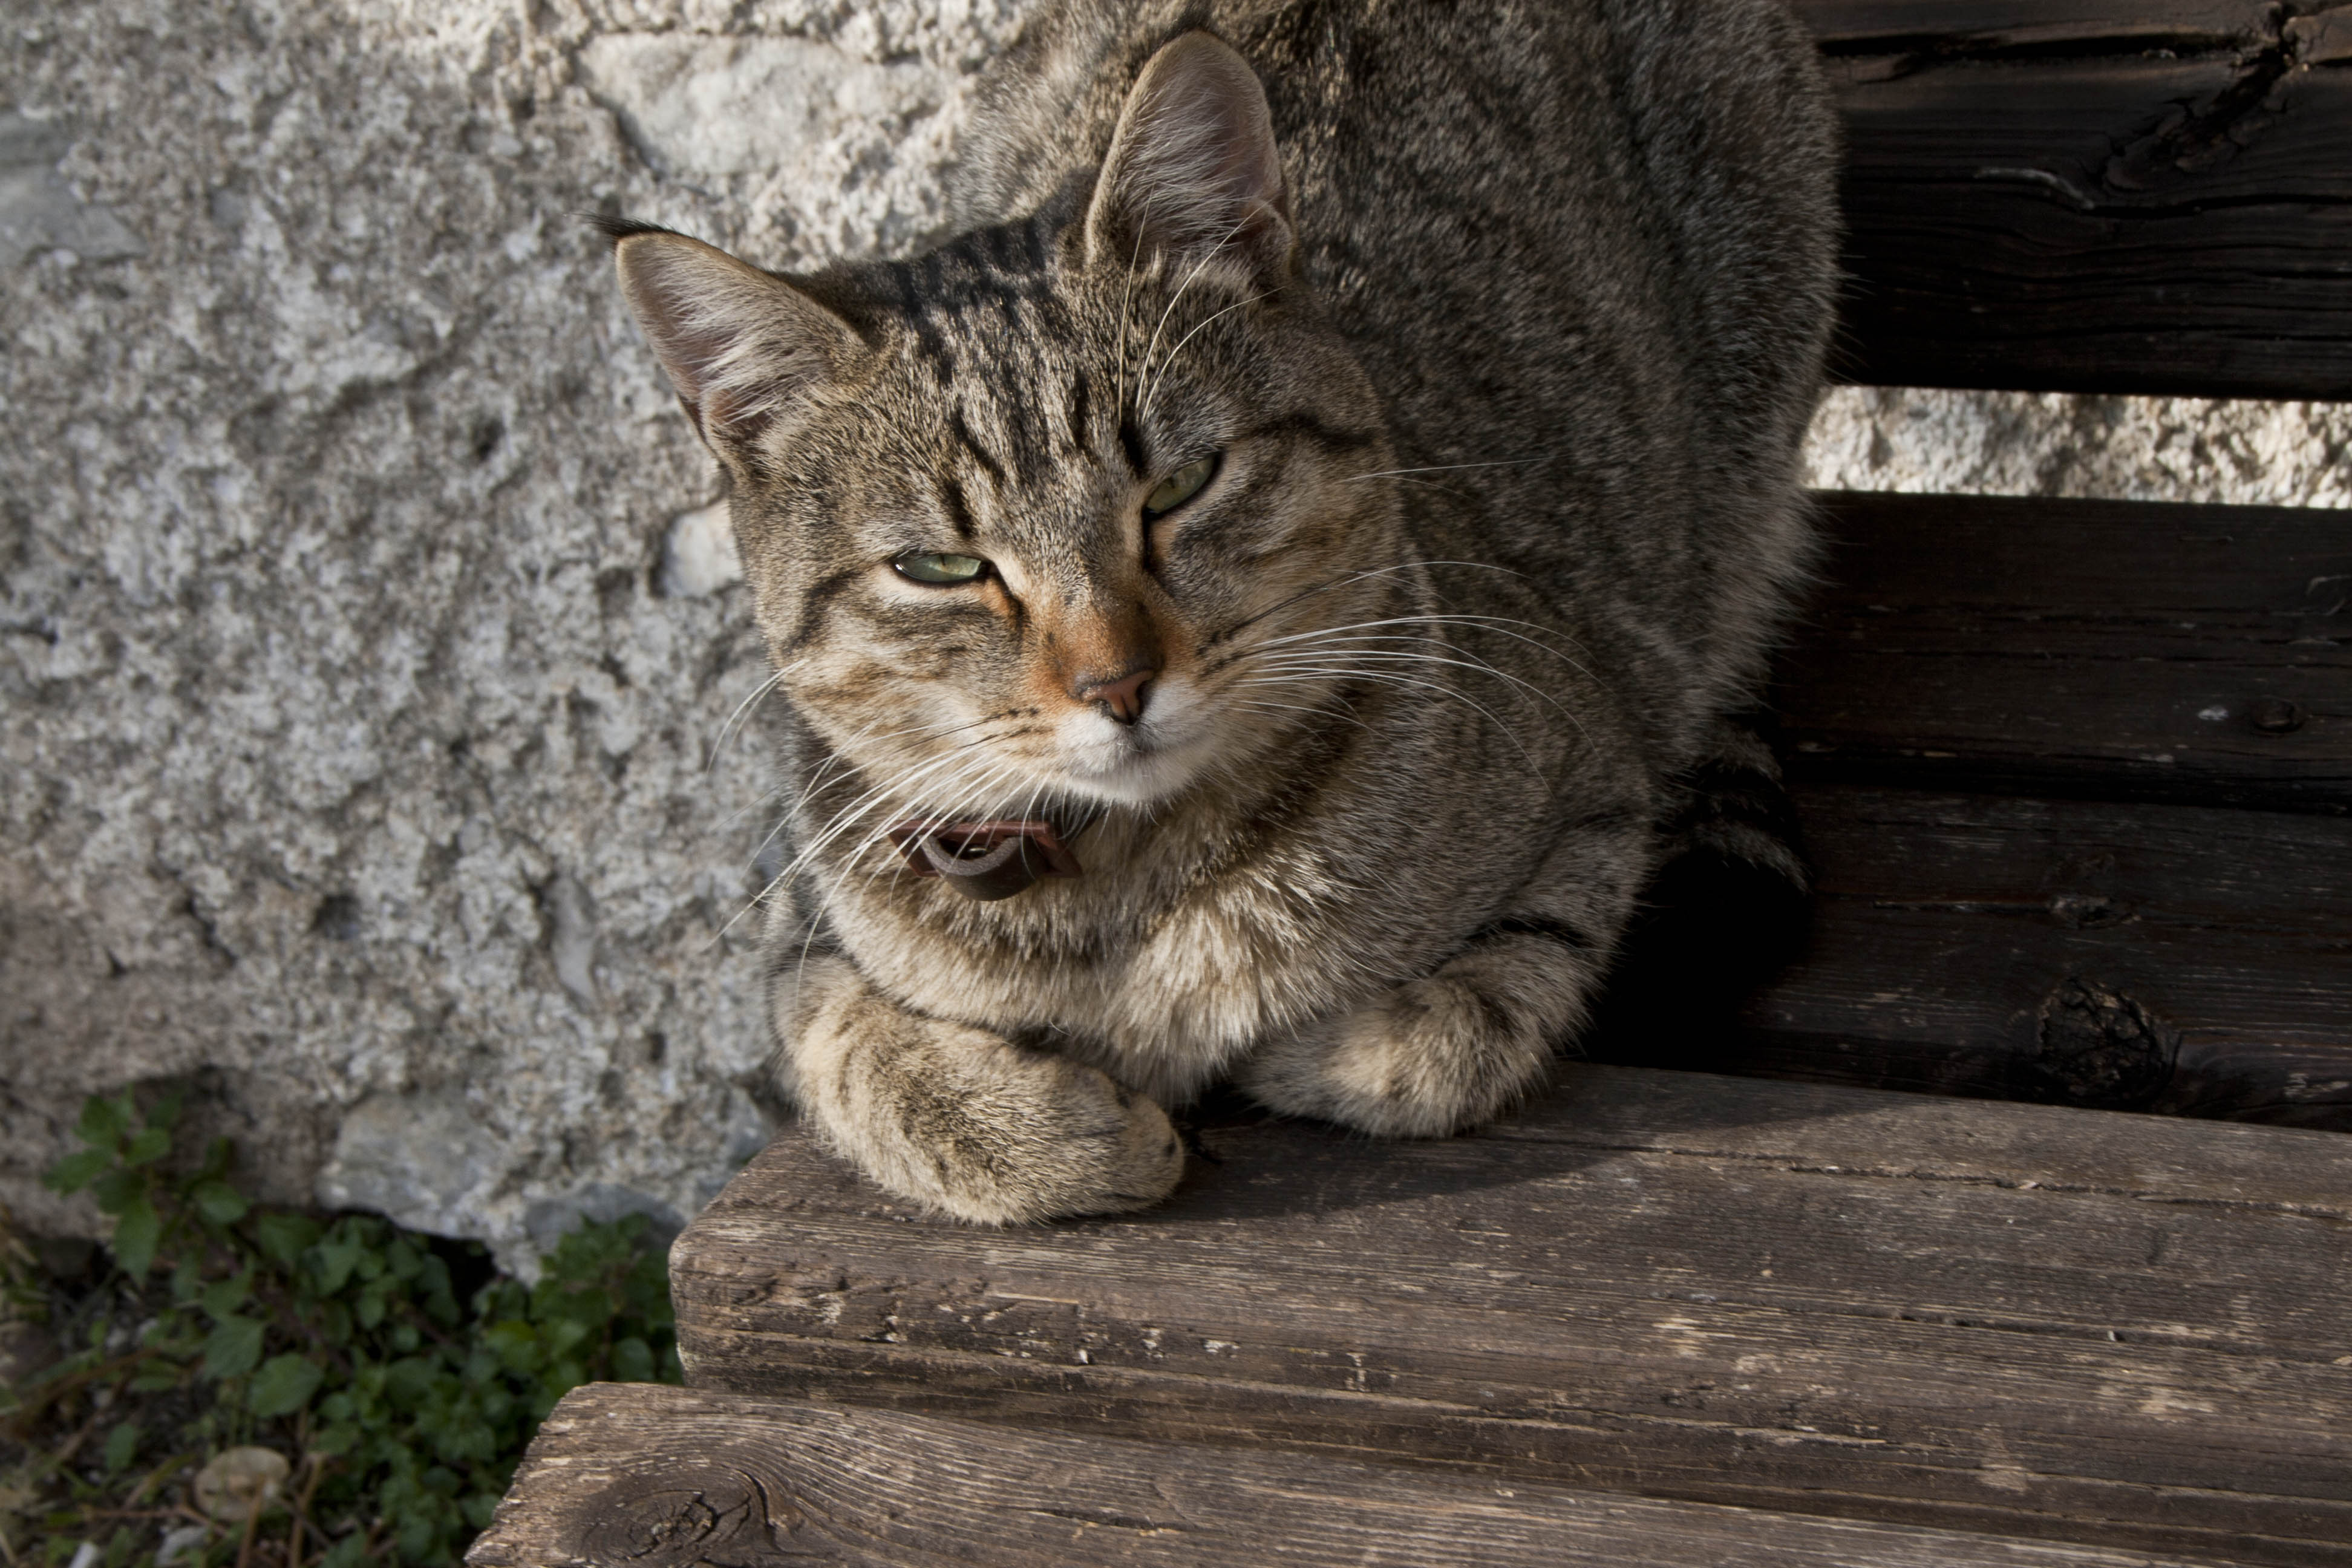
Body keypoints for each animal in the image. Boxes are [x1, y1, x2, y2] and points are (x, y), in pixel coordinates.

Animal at [602, 0, 1834, 1222]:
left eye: (1181, 487)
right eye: (939, 567)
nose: (1115, 683)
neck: (1131, 893)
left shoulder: (1596, 795)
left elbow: (1454, 1027)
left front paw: (1319, 1048)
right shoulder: (801, 933)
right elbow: (860, 1061)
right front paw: (1064, 1132)